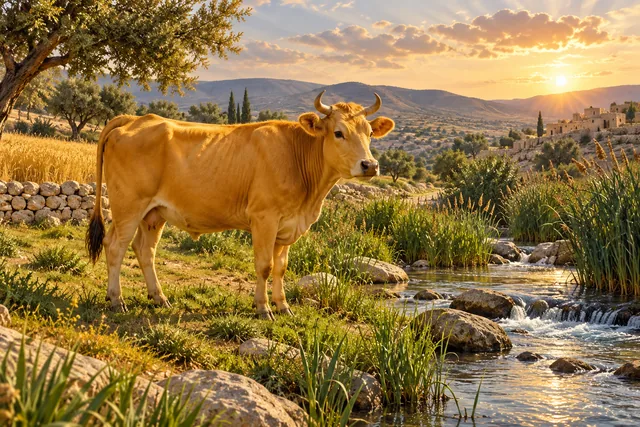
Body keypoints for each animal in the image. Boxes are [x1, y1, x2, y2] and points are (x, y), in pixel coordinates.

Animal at [86, 91, 395, 319]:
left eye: (369, 133)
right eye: (338, 133)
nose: (370, 165)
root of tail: (135, 119)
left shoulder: (288, 226)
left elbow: (281, 267)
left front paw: (283, 306)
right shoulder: (264, 218)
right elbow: (264, 266)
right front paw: (263, 308)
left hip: (153, 213)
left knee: (144, 250)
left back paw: (159, 298)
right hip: (128, 206)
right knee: (115, 246)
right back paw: (117, 300)